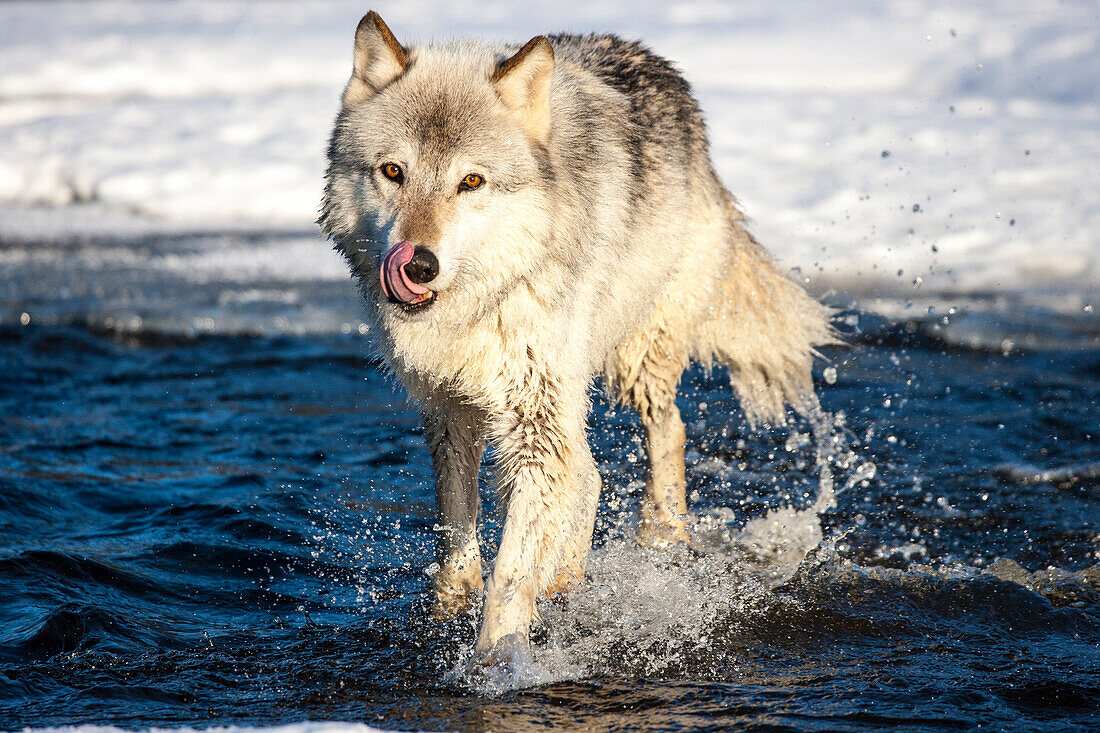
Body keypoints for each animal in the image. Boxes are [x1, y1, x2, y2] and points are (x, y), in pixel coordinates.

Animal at [319, 11, 831, 660]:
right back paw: (565, 578)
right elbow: (457, 526)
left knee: (667, 429)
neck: (479, 303)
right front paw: (451, 608)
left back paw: (661, 538)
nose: (419, 265)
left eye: (471, 181)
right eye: (393, 172)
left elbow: (511, 567)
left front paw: (497, 660)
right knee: (588, 474)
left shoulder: (536, 419)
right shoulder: (450, 408)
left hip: (632, 360)